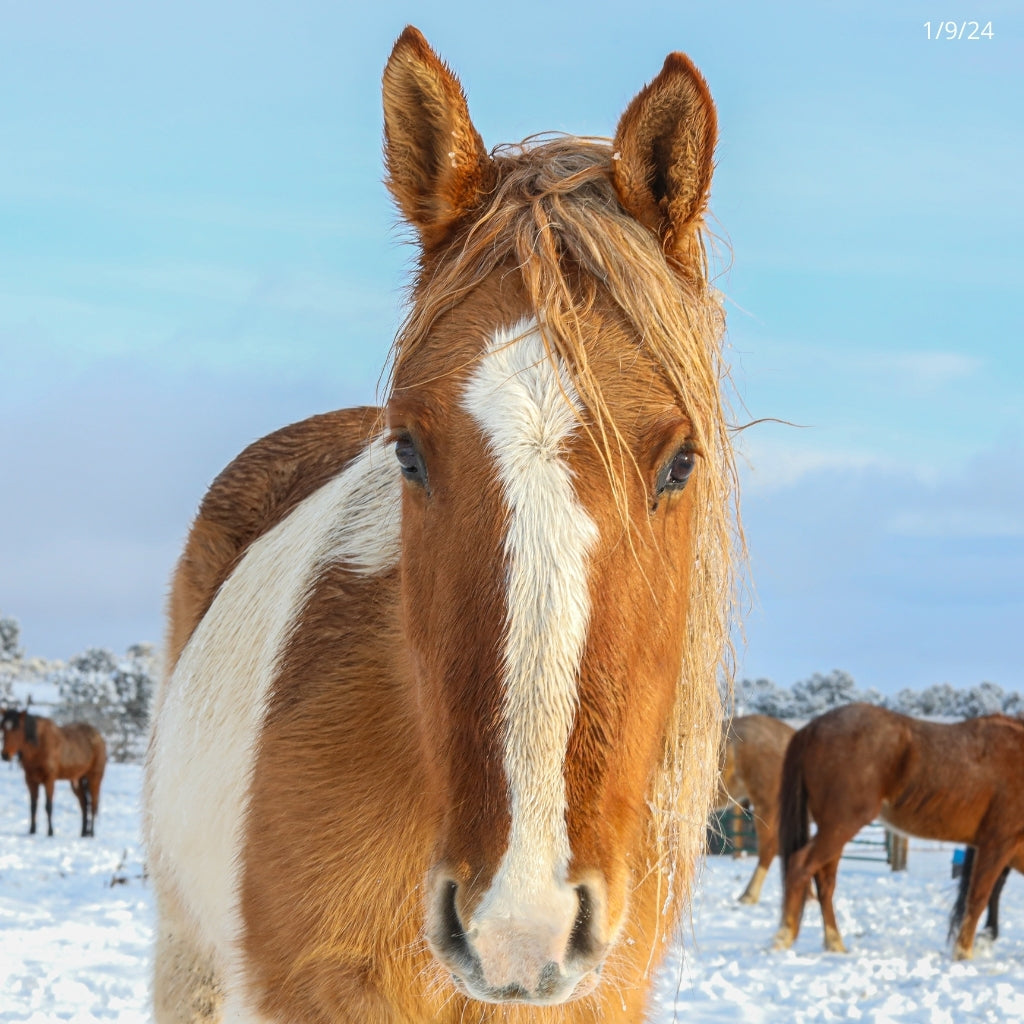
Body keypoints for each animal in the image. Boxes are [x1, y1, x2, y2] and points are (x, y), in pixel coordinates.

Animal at [774, 704, 1024, 958]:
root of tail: (812, 728)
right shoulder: (997, 842)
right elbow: (979, 897)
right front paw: (963, 952)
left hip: (833, 830)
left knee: (825, 881)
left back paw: (834, 943)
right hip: (839, 826)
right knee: (800, 866)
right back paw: (783, 938)